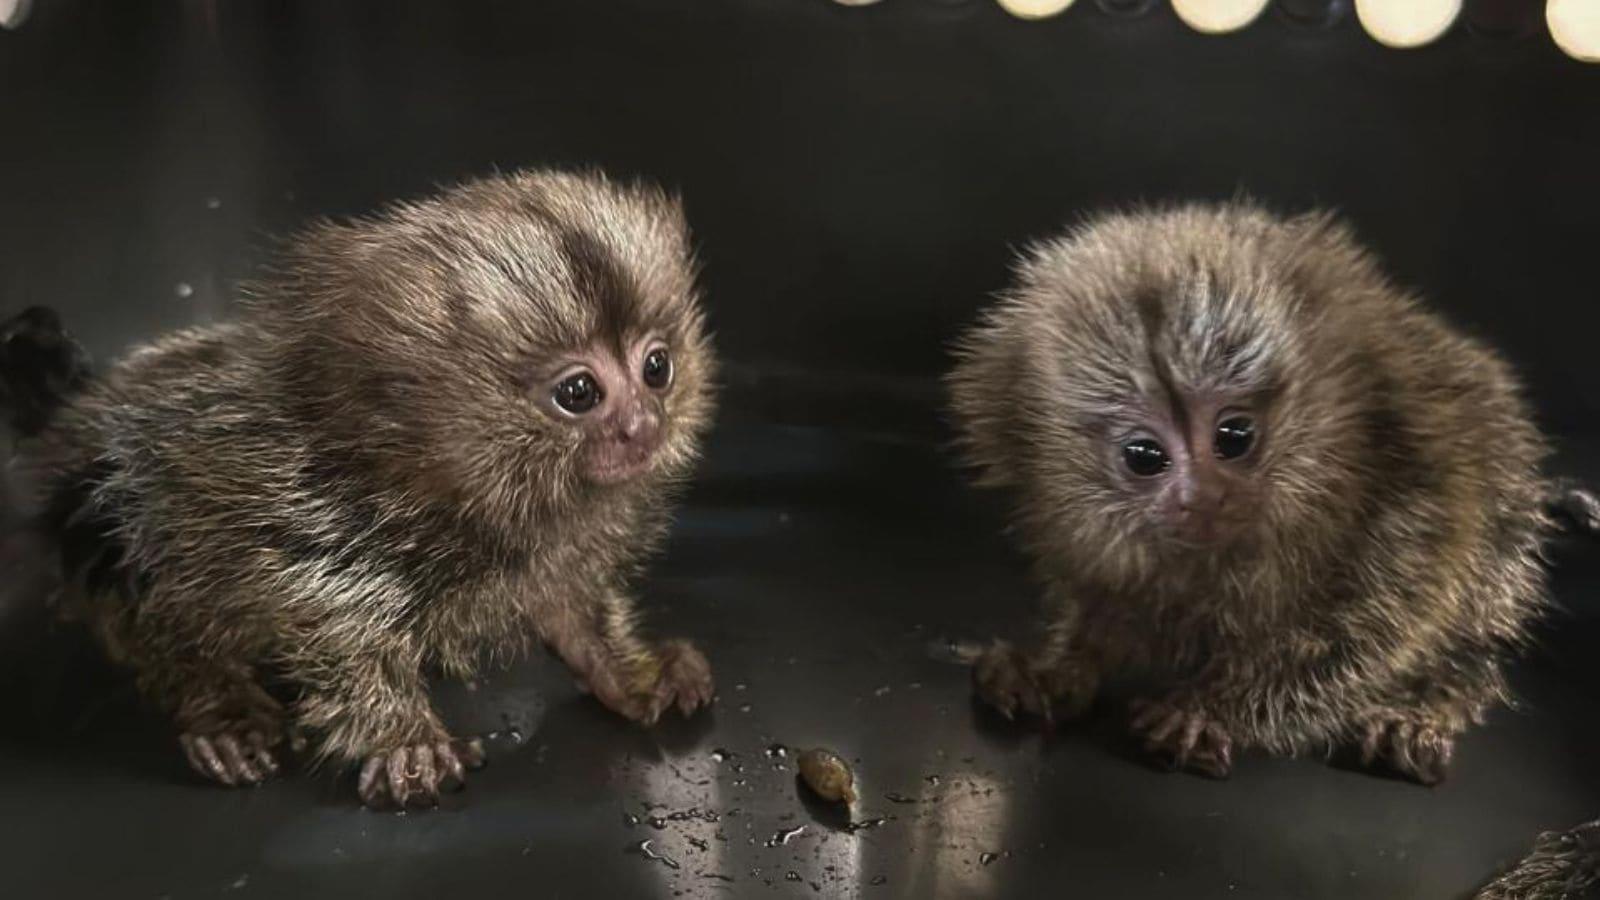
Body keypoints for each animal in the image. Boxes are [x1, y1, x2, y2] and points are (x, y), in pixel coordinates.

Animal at [1, 169, 717, 808]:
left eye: (656, 367)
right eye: (579, 392)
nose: (642, 425)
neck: (436, 482)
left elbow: (573, 606)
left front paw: (627, 671)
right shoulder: (311, 510)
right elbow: (334, 628)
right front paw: (404, 738)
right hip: (105, 501)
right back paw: (218, 707)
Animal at [947, 202, 1571, 785]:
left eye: (1234, 437)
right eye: (1144, 455)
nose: (1199, 496)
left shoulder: (1414, 485)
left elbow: (1372, 632)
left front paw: (1212, 707)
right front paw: (1056, 667)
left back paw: (1427, 707)